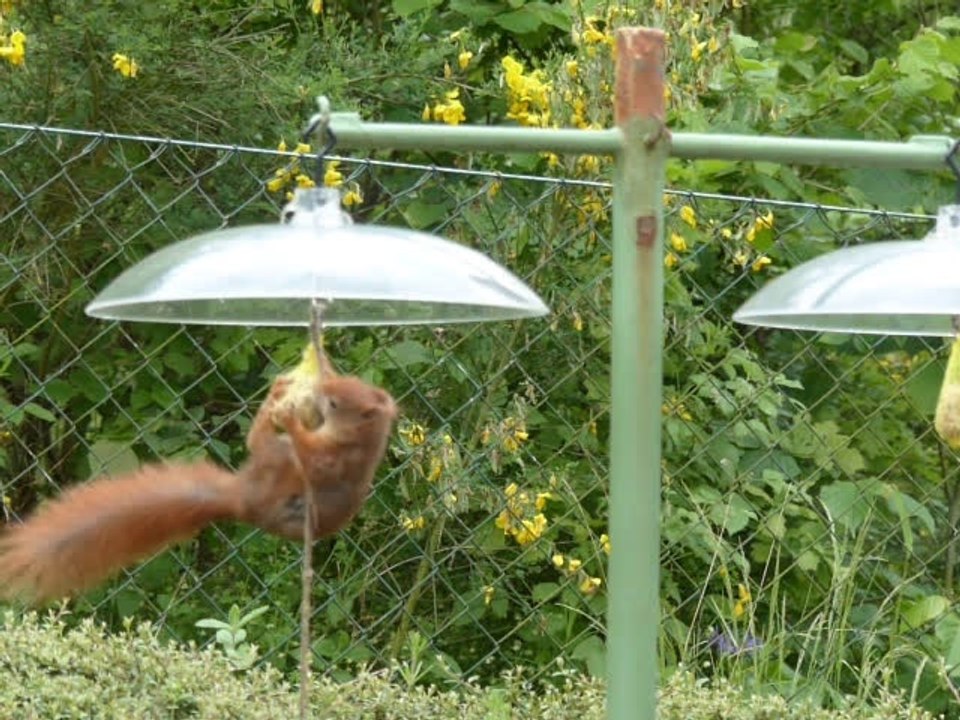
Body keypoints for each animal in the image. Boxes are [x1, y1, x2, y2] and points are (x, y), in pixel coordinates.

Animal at [0, 367, 397, 604]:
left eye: (335, 402)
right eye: (341, 382)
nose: (321, 386)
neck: (357, 440)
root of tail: (243, 502)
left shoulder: (332, 461)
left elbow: (312, 455)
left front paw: (290, 415)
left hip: (279, 469)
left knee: (262, 443)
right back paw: (275, 392)